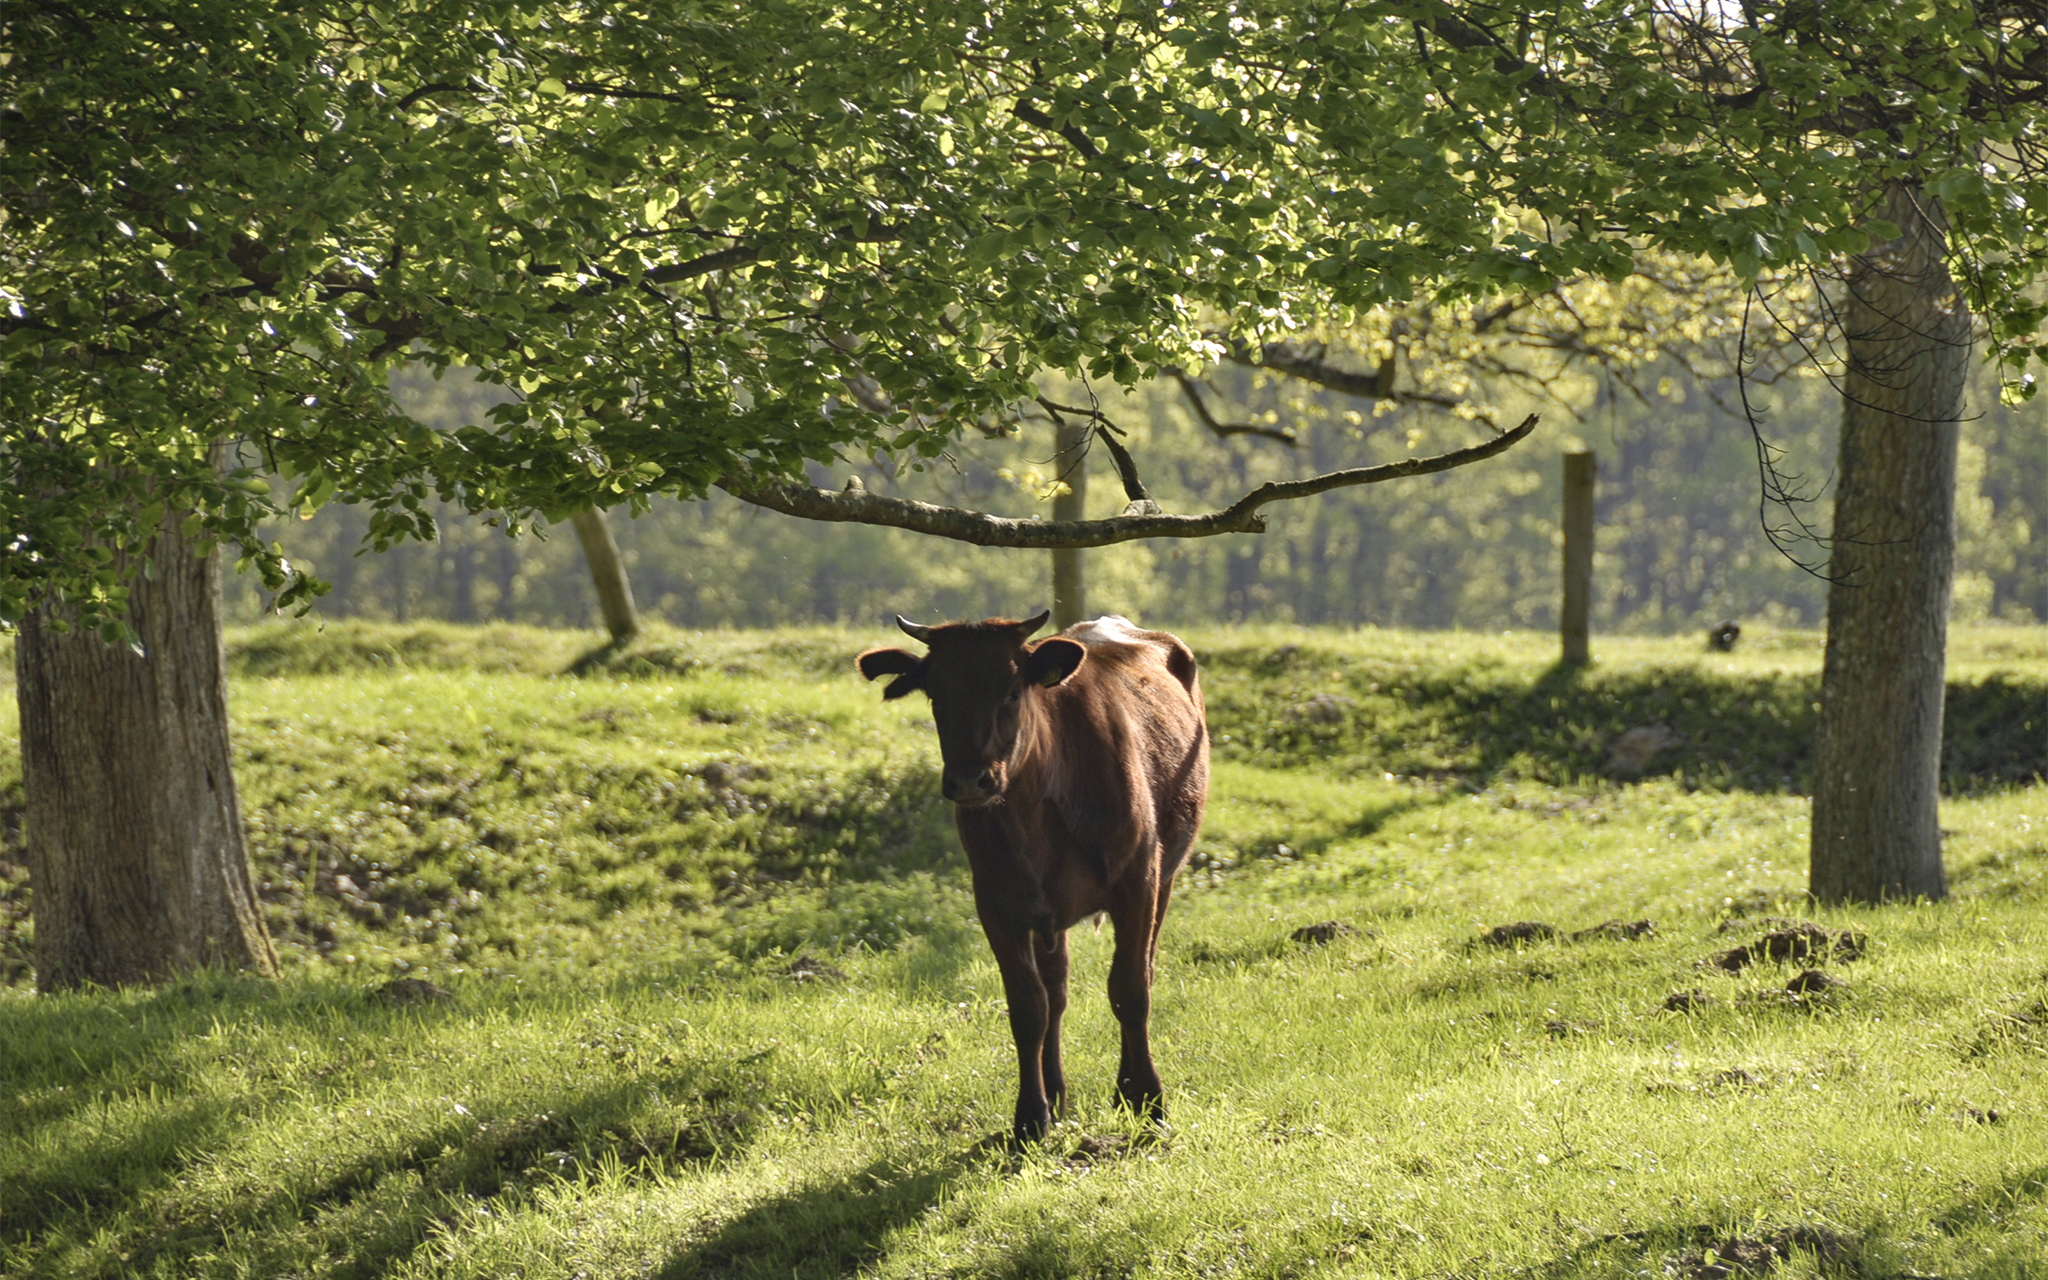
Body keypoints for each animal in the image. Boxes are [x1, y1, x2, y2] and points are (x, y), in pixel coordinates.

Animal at [856, 610, 1204, 1138]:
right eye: (936, 694)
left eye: (1012, 691)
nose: (968, 780)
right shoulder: (998, 904)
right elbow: (1028, 1007)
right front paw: (1032, 1115)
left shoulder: (1137, 882)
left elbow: (1129, 990)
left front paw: (1145, 1097)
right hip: (1048, 913)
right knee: (1055, 993)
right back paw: (1057, 1093)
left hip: (1164, 877)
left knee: (1141, 968)